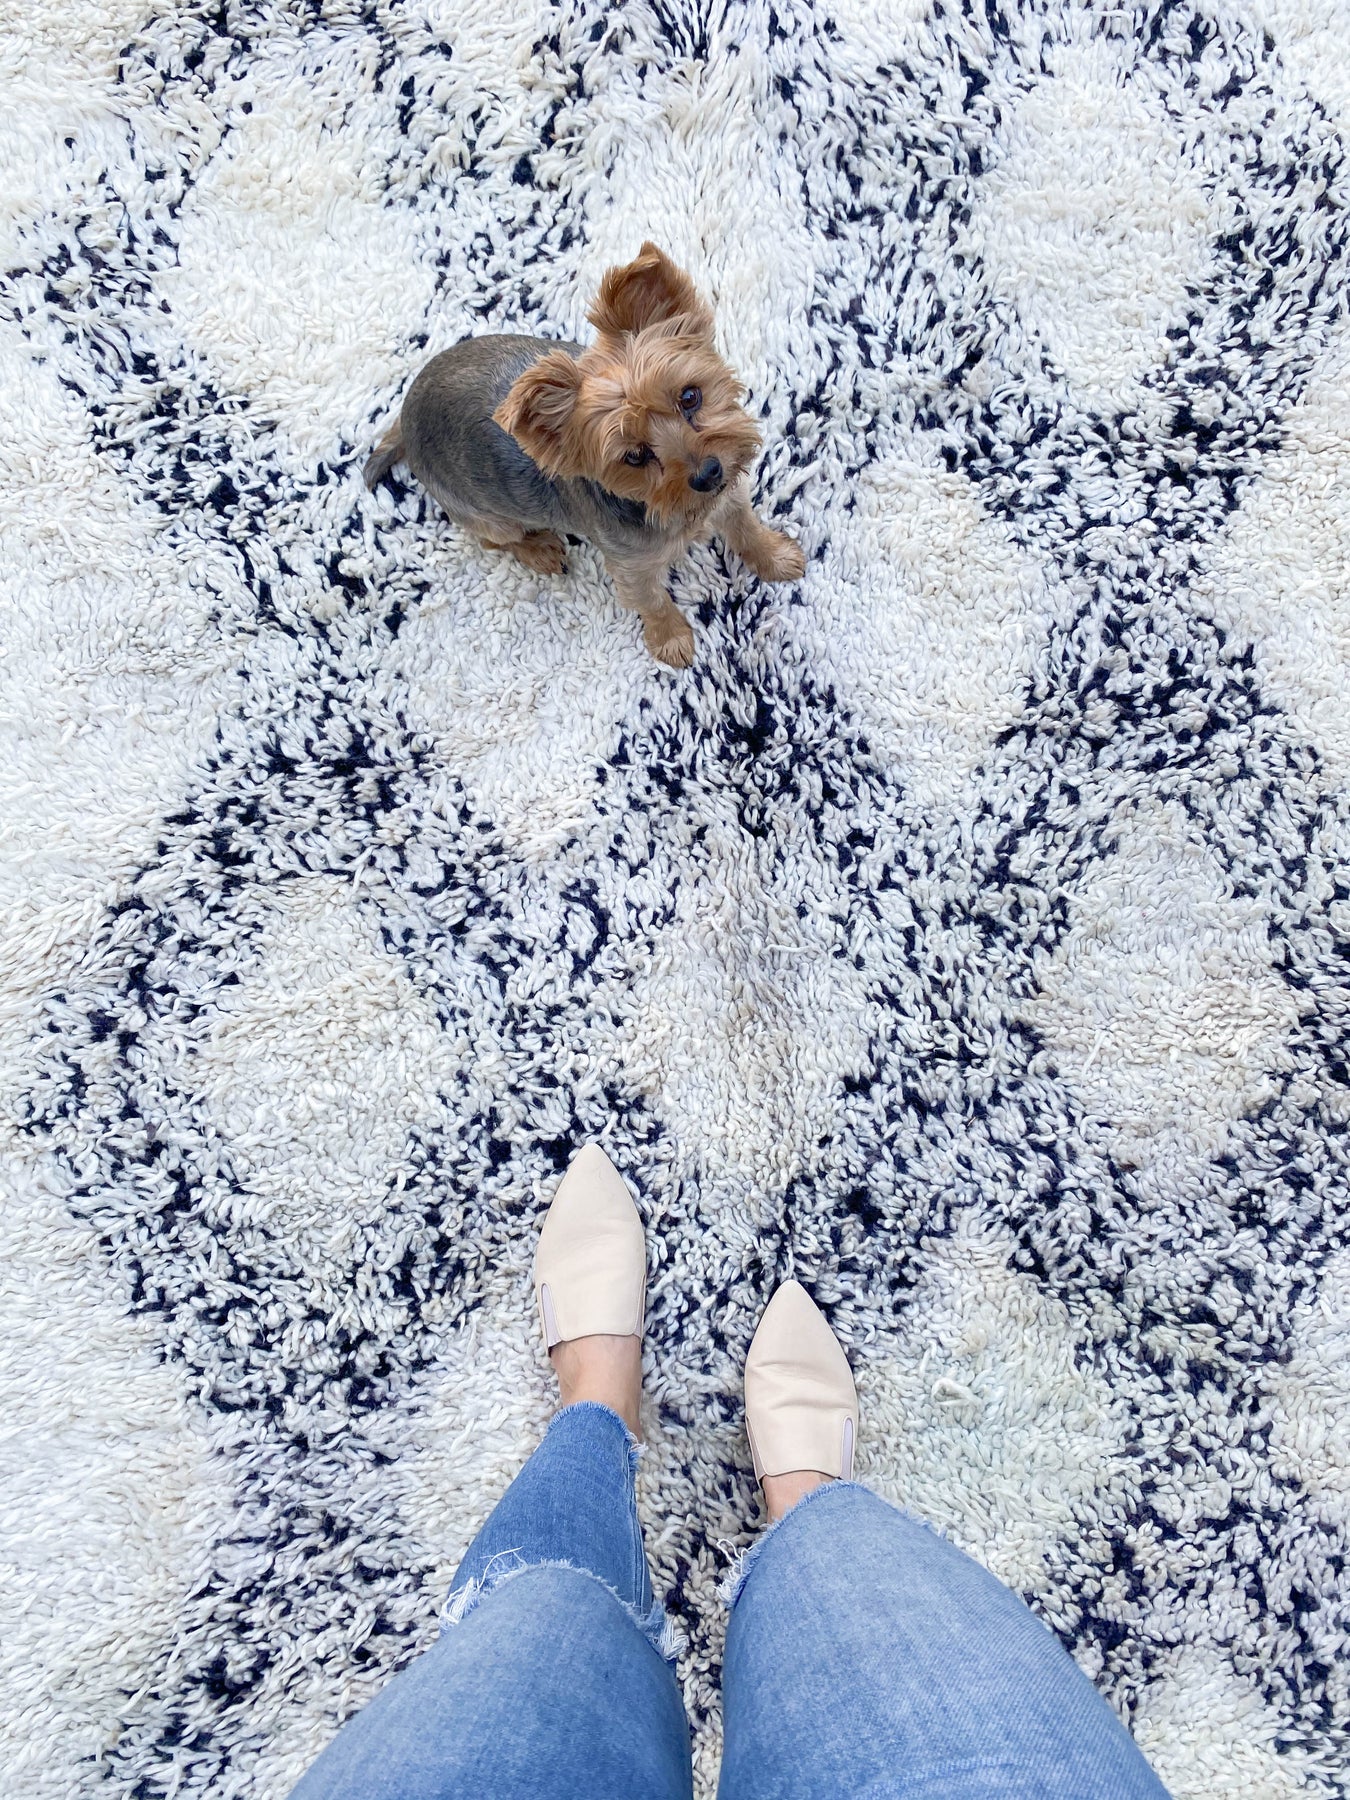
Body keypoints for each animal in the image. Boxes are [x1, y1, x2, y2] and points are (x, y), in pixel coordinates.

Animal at [364, 242, 805, 668]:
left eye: (690, 396)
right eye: (634, 456)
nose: (708, 473)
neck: (673, 510)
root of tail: (405, 417)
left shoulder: (729, 495)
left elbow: (747, 529)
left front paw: (776, 558)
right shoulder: (631, 566)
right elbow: (653, 601)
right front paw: (671, 639)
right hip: (483, 514)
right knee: (493, 540)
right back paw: (538, 548)